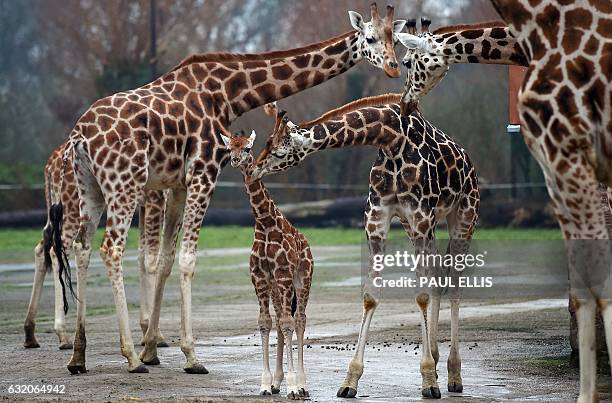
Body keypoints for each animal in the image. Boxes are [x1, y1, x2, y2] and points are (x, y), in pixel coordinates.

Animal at [220, 130, 314, 400]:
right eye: (229, 148)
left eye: (248, 148)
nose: (236, 161)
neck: (264, 222)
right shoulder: (260, 276)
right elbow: (265, 323)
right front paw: (265, 384)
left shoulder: (283, 274)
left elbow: (288, 324)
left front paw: (293, 387)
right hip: (276, 288)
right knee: (282, 319)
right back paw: (277, 382)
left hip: (302, 279)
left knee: (299, 320)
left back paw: (302, 384)